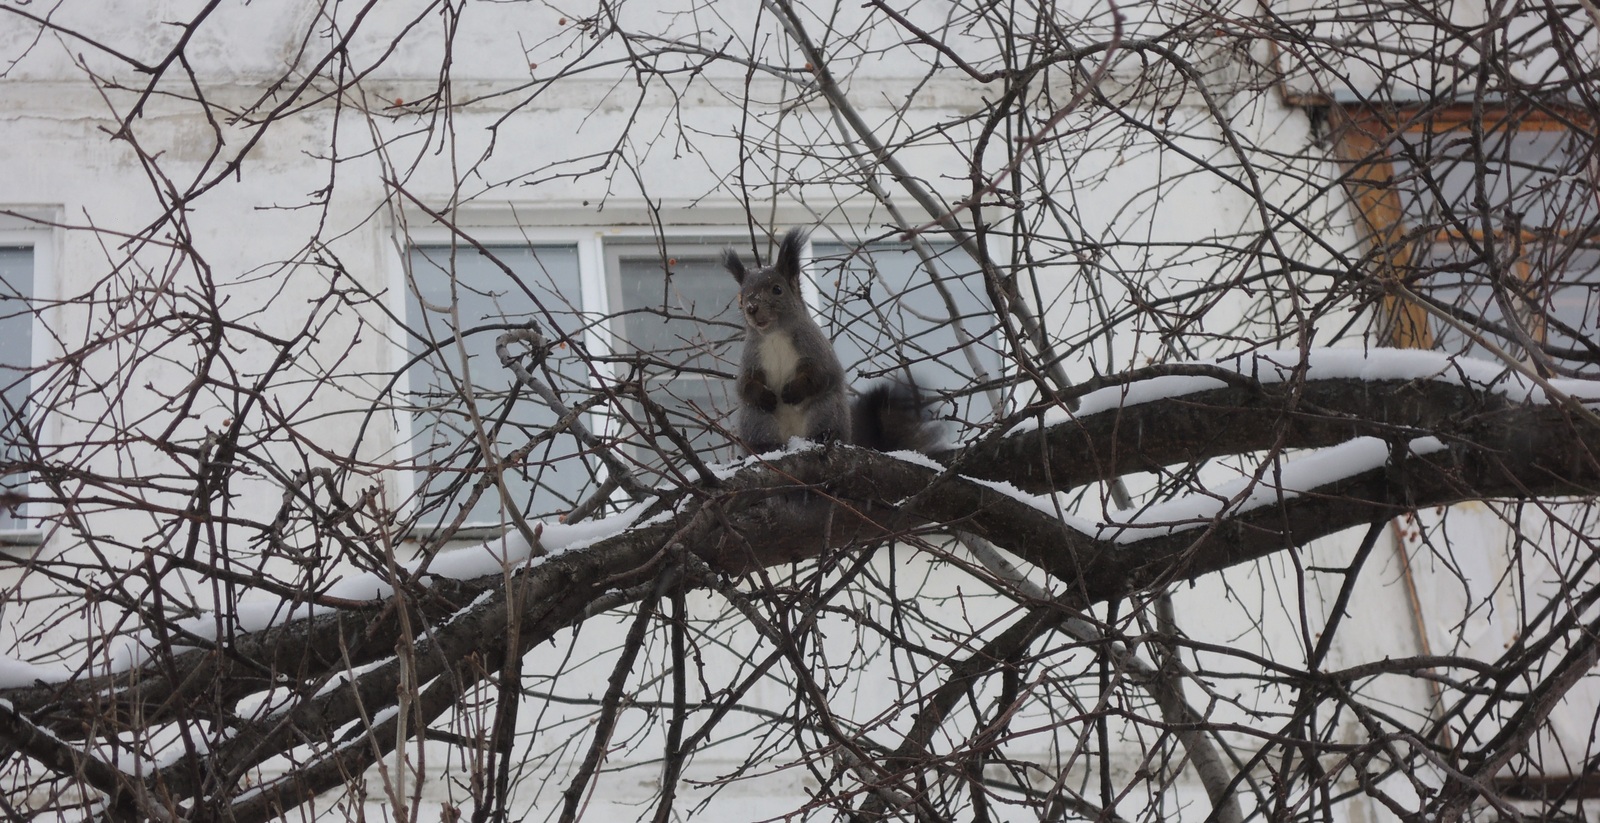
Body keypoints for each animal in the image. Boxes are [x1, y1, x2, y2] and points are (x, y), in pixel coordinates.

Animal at [723, 227, 934, 451]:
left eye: (777, 289)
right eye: (741, 296)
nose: (751, 308)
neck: (774, 335)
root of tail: (793, 439)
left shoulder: (817, 350)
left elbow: (822, 375)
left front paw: (793, 391)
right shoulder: (751, 358)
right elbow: (744, 386)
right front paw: (764, 395)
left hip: (826, 409)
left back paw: (821, 437)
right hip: (756, 418)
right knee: (759, 420)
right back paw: (765, 447)